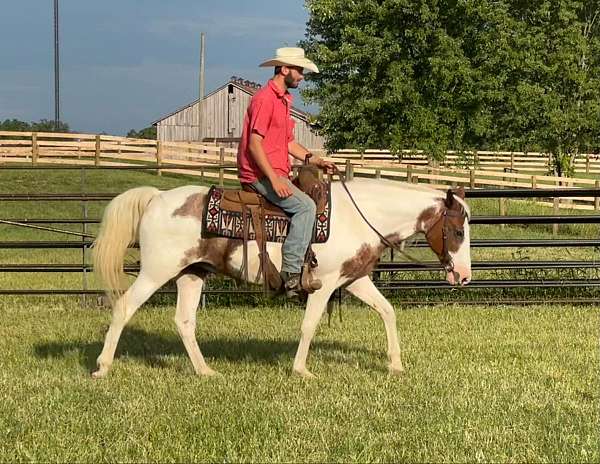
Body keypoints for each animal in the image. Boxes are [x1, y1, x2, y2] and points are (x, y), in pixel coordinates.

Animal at [91, 176, 472, 378]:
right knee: (123, 308)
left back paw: (206, 371)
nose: (465, 277)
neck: (358, 216)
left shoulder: (354, 280)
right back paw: (102, 367)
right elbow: (310, 325)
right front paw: (301, 370)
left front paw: (395, 365)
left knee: (184, 321)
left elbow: (387, 311)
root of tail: (156, 198)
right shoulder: (324, 284)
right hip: (157, 271)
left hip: (191, 273)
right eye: (457, 231)